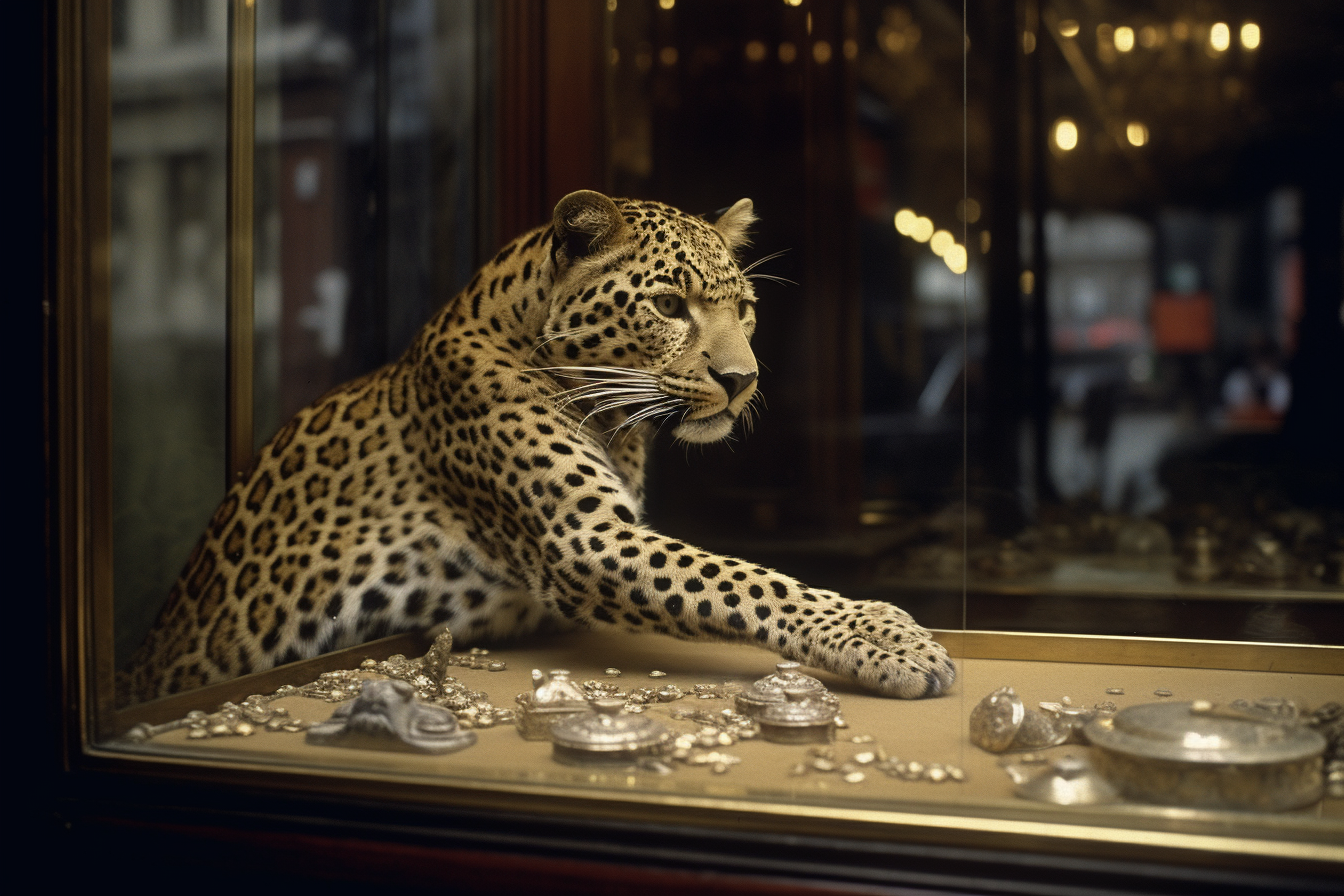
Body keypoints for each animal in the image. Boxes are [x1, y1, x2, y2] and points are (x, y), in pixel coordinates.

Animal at [115, 190, 956, 709]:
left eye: (744, 309)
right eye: (668, 305)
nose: (741, 379)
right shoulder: (581, 536)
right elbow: (749, 581)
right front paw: (888, 637)